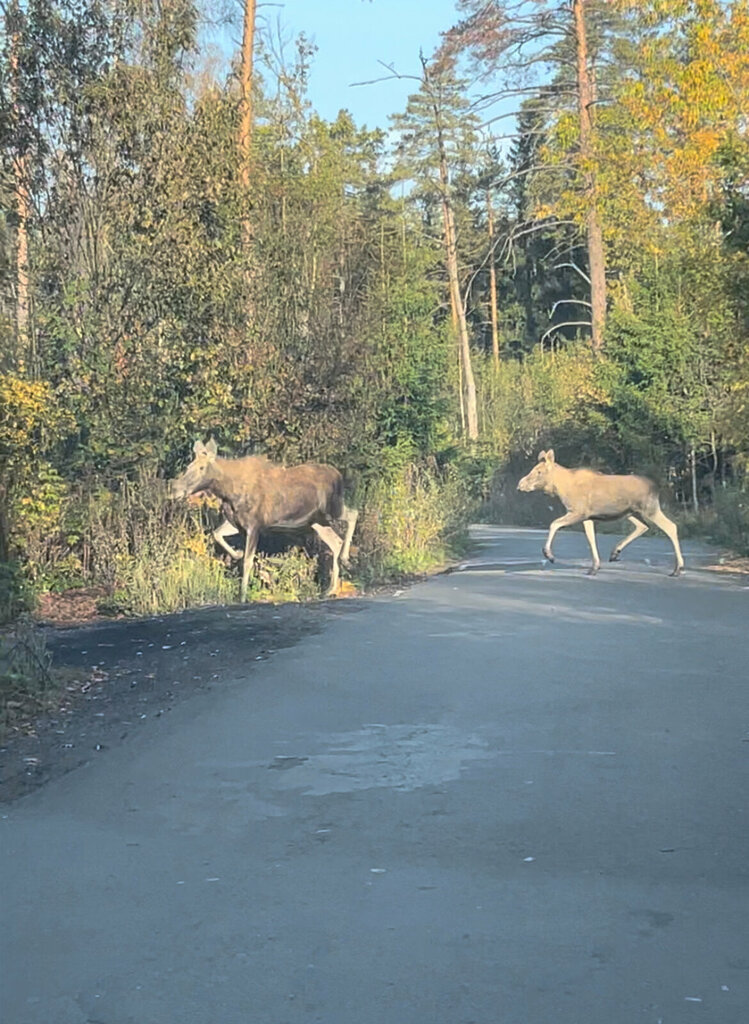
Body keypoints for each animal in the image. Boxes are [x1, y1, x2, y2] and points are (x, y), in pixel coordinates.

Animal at [171, 438, 358, 598]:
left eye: (202, 468)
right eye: (188, 467)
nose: (176, 490)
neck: (227, 492)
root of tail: (339, 475)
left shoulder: (254, 526)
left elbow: (247, 562)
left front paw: (243, 595)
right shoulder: (235, 523)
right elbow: (216, 534)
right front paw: (237, 554)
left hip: (332, 508)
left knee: (353, 514)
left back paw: (345, 561)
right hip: (316, 521)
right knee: (336, 541)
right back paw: (330, 589)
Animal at [518, 448, 684, 577]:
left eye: (539, 471)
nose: (520, 484)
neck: (560, 487)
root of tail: (656, 487)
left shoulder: (578, 512)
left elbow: (554, 524)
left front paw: (549, 555)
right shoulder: (588, 517)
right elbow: (591, 539)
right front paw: (594, 567)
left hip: (649, 509)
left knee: (671, 527)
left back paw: (678, 568)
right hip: (631, 512)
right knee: (643, 526)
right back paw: (615, 552)